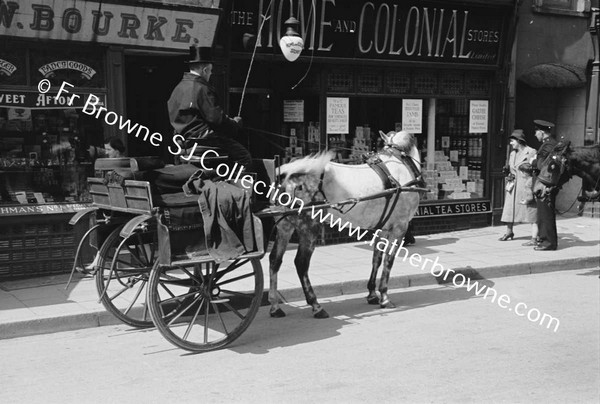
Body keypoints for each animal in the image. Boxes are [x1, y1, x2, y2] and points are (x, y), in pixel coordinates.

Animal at [268, 131, 422, 318]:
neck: (400, 161)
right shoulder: (399, 228)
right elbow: (388, 261)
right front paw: (384, 296)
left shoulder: (382, 228)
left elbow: (376, 259)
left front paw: (372, 294)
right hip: (309, 228)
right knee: (301, 264)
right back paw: (316, 305)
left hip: (285, 227)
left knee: (275, 260)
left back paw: (275, 306)